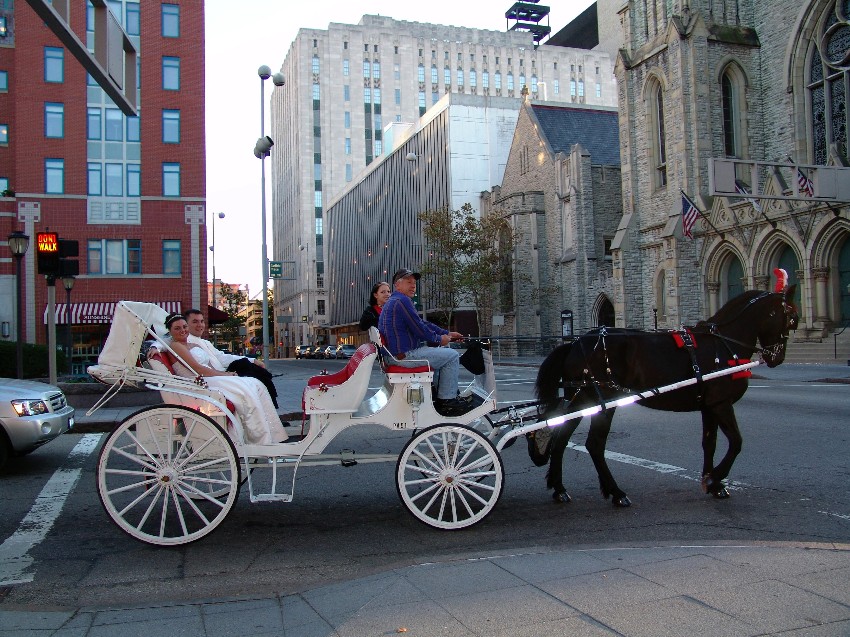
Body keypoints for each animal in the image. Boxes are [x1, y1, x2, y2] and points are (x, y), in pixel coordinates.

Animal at [528, 272, 796, 506]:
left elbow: (709, 442)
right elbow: (736, 442)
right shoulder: (722, 403)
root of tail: (575, 344)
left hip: (583, 397)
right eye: (791, 318)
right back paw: (616, 492)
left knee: (562, 434)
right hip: (602, 400)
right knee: (594, 444)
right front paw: (715, 478)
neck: (723, 344)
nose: (777, 357)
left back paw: (559, 488)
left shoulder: (709, 405)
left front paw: (712, 483)